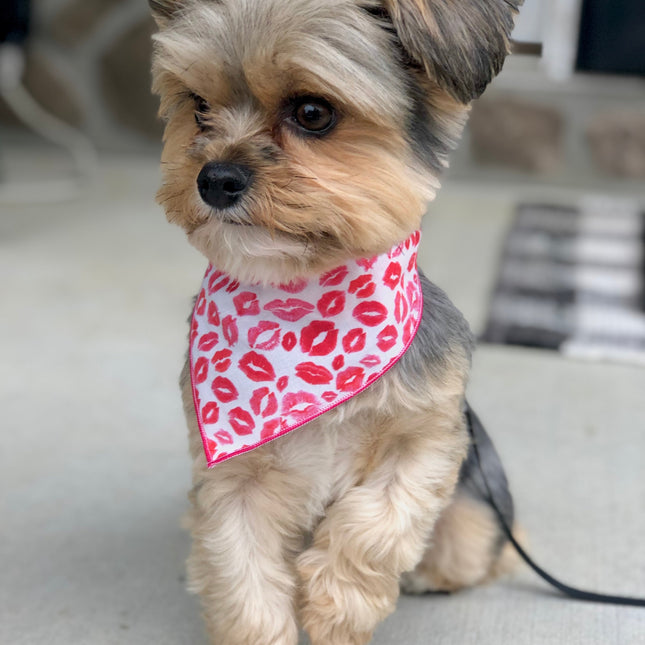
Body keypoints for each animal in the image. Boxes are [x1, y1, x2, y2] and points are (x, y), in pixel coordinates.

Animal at [151, 2, 524, 640]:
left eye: (313, 113)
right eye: (197, 106)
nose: (214, 179)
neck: (306, 319)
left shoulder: (427, 440)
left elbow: (373, 523)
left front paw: (336, 608)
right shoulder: (232, 479)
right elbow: (242, 579)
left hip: (475, 513)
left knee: (479, 549)